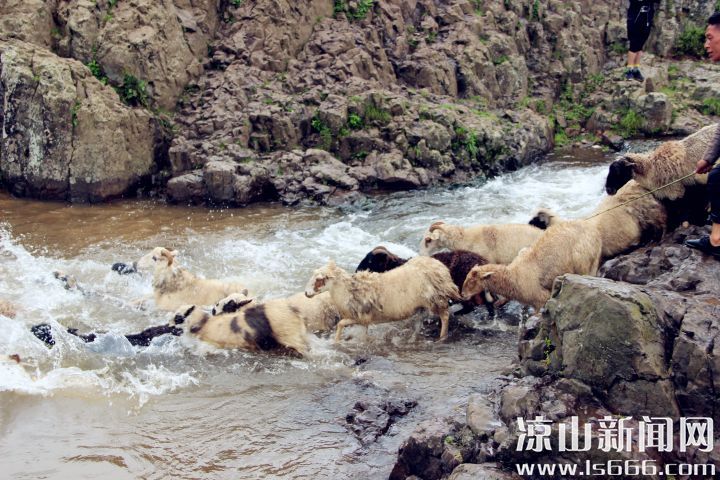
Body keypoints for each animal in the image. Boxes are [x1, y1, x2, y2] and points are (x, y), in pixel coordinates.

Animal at [300, 255, 458, 342]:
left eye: (319, 280)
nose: (306, 293)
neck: (347, 291)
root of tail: (440, 267)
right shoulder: (363, 320)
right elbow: (361, 332)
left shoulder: (362, 317)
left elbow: (340, 324)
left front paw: (336, 341)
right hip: (422, 306)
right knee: (419, 323)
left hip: (436, 300)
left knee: (445, 316)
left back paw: (442, 337)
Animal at [462, 221, 600, 312]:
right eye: (466, 277)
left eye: (472, 281)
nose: (462, 294)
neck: (514, 275)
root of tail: (594, 232)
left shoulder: (540, 299)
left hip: (584, 263)